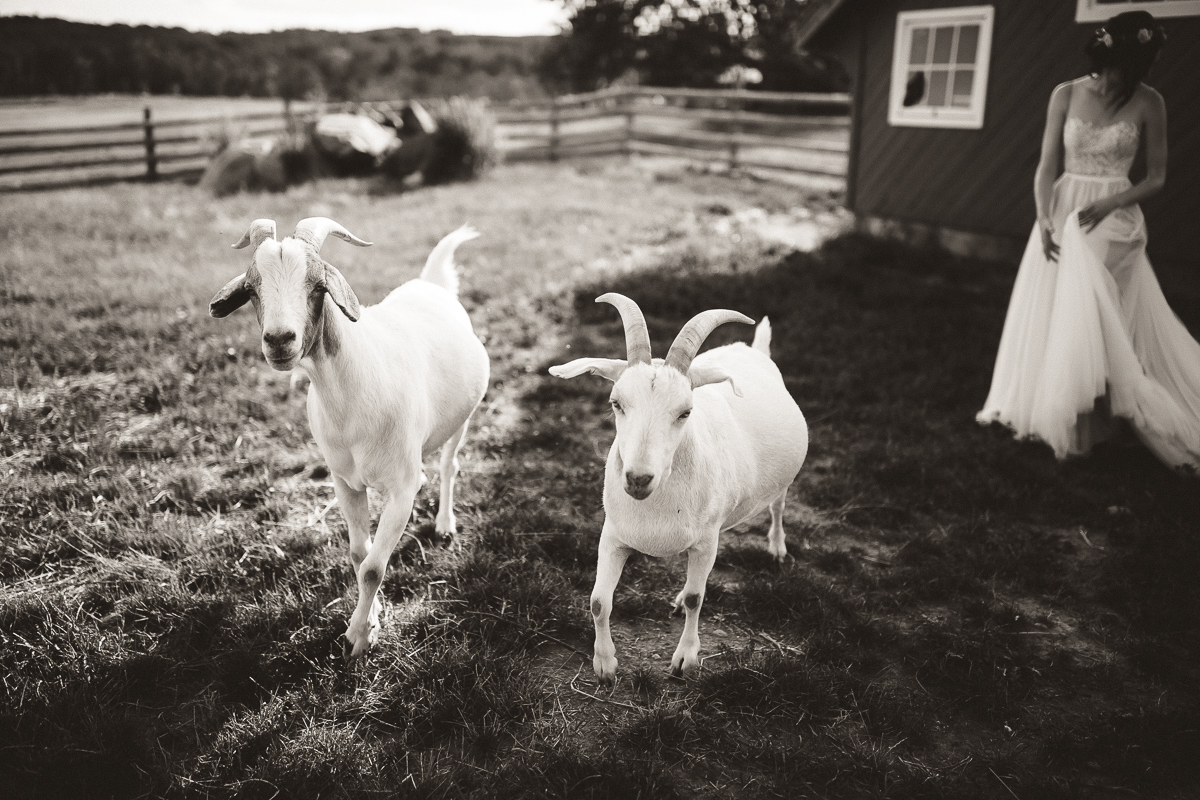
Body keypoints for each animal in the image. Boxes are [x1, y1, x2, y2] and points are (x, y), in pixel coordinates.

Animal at [210, 217, 487, 657]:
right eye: (252, 289)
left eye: (317, 285)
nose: (279, 340)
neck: (353, 400)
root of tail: (429, 284)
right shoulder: (345, 482)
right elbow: (360, 555)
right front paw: (371, 619)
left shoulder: (401, 490)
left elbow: (374, 567)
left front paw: (357, 637)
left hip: (461, 419)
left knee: (449, 465)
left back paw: (445, 523)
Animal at [549, 297, 806, 686]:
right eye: (616, 403)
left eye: (685, 412)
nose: (638, 478)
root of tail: (753, 349)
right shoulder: (613, 536)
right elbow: (598, 601)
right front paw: (605, 666)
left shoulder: (705, 540)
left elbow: (697, 600)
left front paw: (685, 660)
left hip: (778, 483)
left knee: (777, 505)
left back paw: (777, 549)